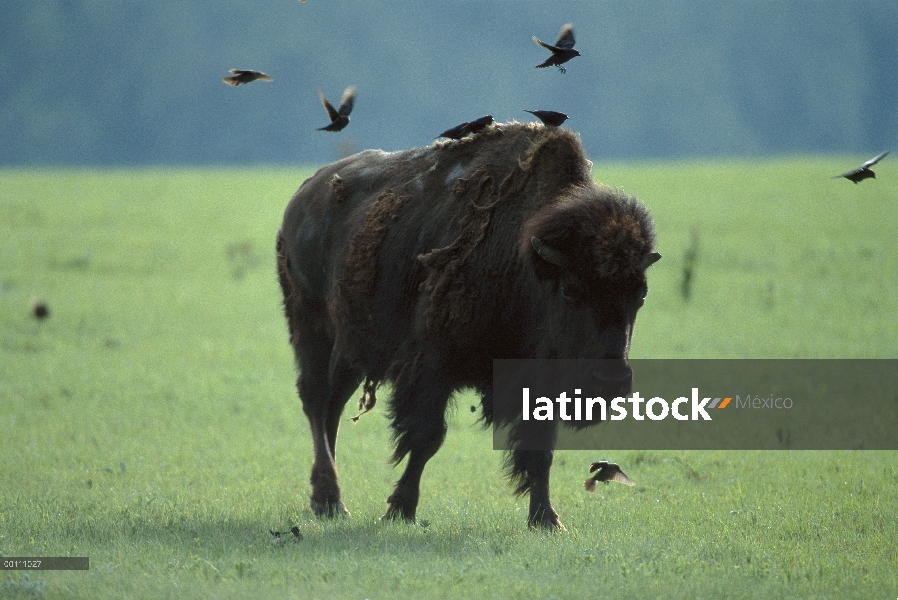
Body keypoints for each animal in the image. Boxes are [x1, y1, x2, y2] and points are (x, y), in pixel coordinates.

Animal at [274, 122, 656, 528]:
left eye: (640, 294)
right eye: (570, 290)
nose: (612, 381)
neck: (524, 260)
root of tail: (303, 196)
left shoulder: (539, 385)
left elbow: (539, 451)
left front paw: (547, 520)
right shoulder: (433, 364)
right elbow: (427, 437)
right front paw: (400, 509)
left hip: (352, 344)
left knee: (332, 405)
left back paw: (329, 499)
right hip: (310, 324)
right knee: (316, 400)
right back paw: (330, 499)